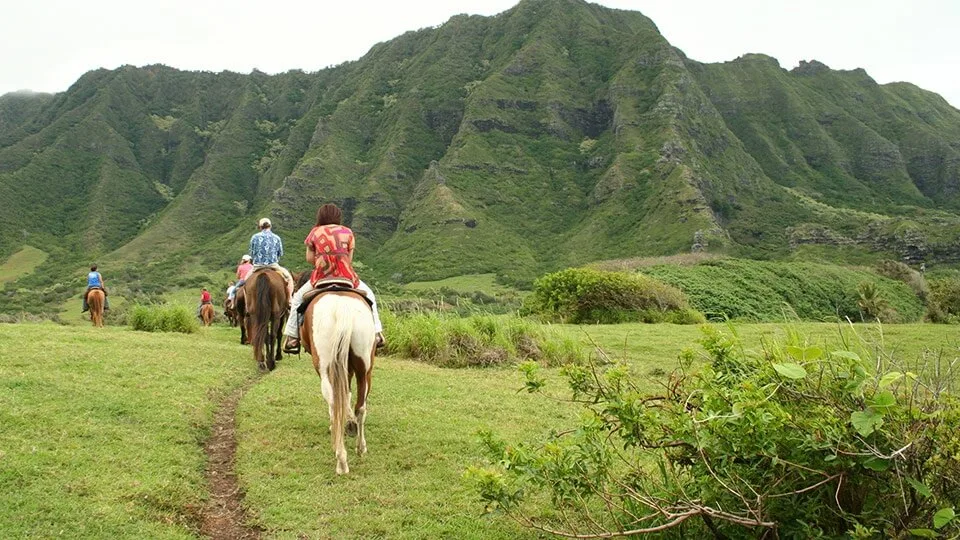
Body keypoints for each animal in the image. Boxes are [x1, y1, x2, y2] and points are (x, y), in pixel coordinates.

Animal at [302, 288, 376, 474]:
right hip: (364, 368)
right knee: (360, 407)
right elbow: (347, 394)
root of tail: (343, 307)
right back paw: (360, 446)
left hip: (326, 366)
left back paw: (341, 459)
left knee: (335, 402)